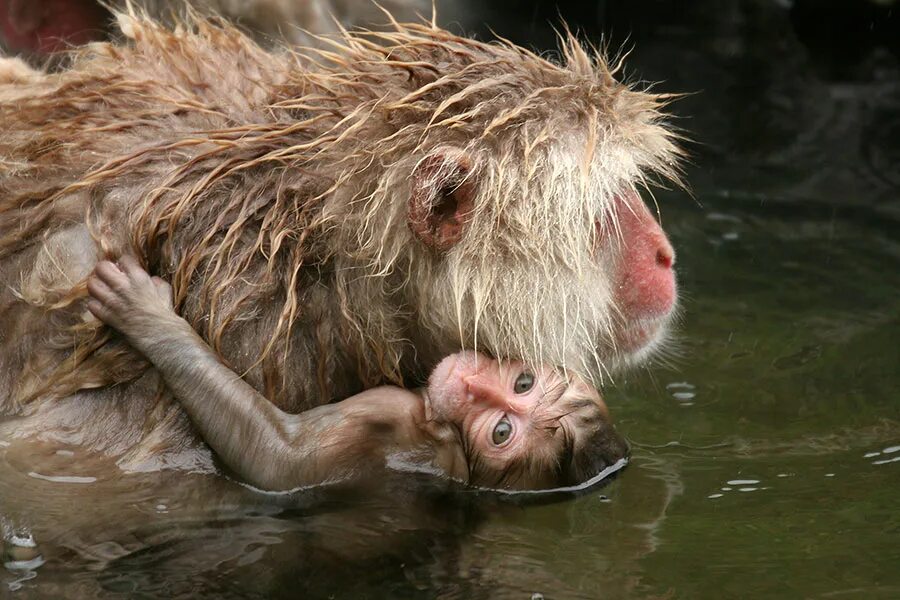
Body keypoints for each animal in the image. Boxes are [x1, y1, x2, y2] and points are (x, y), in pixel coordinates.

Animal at [88, 258, 628, 492]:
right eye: (523, 383)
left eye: (501, 433)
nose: (471, 386)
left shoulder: (388, 416)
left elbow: (276, 459)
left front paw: (149, 317)